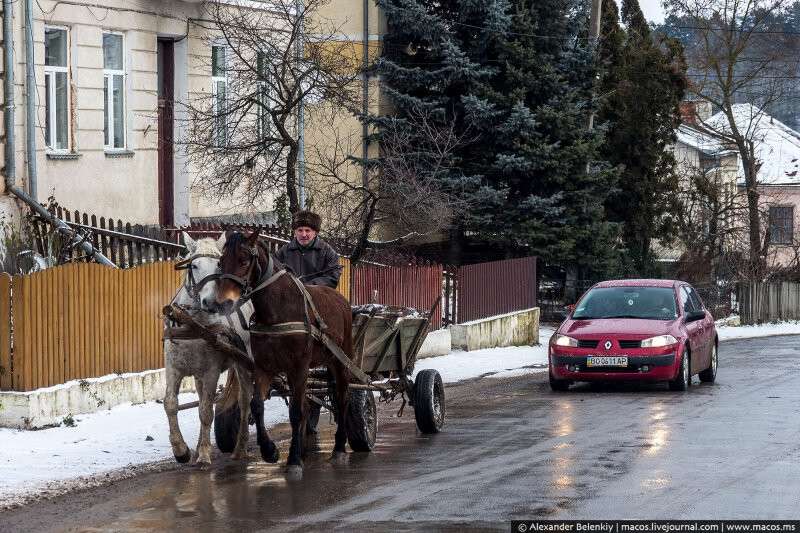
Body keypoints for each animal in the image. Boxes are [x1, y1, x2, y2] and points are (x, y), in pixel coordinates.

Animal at [166, 233, 256, 466]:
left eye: (219, 265)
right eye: (194, 265)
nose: (210, 302)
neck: (192, 324)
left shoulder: (211, 371)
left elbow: (206, 411)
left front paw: (205, 453)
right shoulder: (173, 367)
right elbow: (171, 404)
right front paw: (181, 450)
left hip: (243, 363)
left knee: (245, 402)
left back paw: (240, 447)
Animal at [212, 229, 354, 474]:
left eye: (244, 260)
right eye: (221, 261)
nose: (223, 302)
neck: (277, 310)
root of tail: (341, 300)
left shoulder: (298, 367)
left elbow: (296, 412)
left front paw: (294, 460)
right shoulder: (263, 367)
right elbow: (257, 406)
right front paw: (270, 451)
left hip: (339, 361)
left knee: (342, 399)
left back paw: (338, 448)